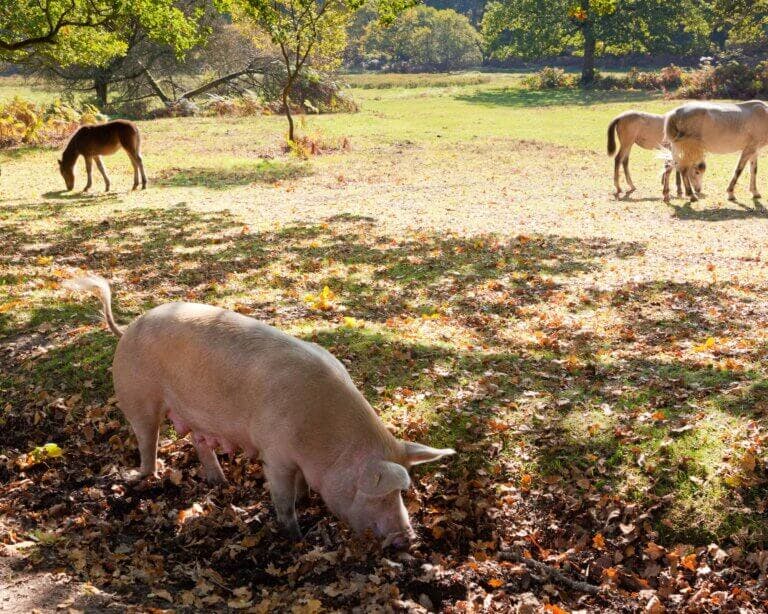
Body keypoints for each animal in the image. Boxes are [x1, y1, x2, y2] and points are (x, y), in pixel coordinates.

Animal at [66, 275, 454, 547]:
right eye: (382, 494)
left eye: (402, 494)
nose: (408, 540)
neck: (325, 442)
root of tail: (127, 328)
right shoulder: (275, 453)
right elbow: (283, 497)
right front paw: (295, 536)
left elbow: (300, 487)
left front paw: (305, 501)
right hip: (136, 396)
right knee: (148, 441)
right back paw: (144, 477)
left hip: (191, 413)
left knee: (199, 443)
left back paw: (219, 483)